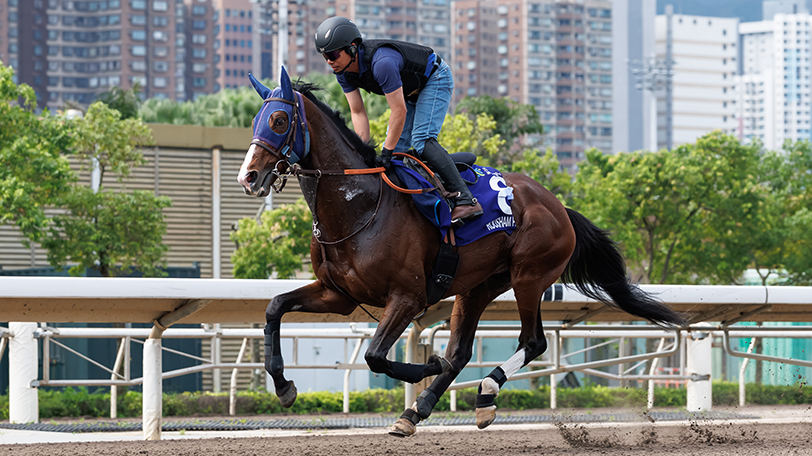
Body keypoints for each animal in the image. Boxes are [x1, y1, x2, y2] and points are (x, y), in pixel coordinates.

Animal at [236, 68, 686, 437]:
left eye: (279, 120)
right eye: (255, 121)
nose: (249, 177)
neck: (361, 204)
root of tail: (559, 206)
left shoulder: (408, 296)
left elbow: (376, 356)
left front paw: (429, 365)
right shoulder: (340, 295)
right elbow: (275, 307)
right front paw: (284, 386)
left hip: (529, 276)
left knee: (533, 341)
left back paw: (485, 390)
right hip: (478, 286)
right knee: (462, 349)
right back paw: (418, 410)